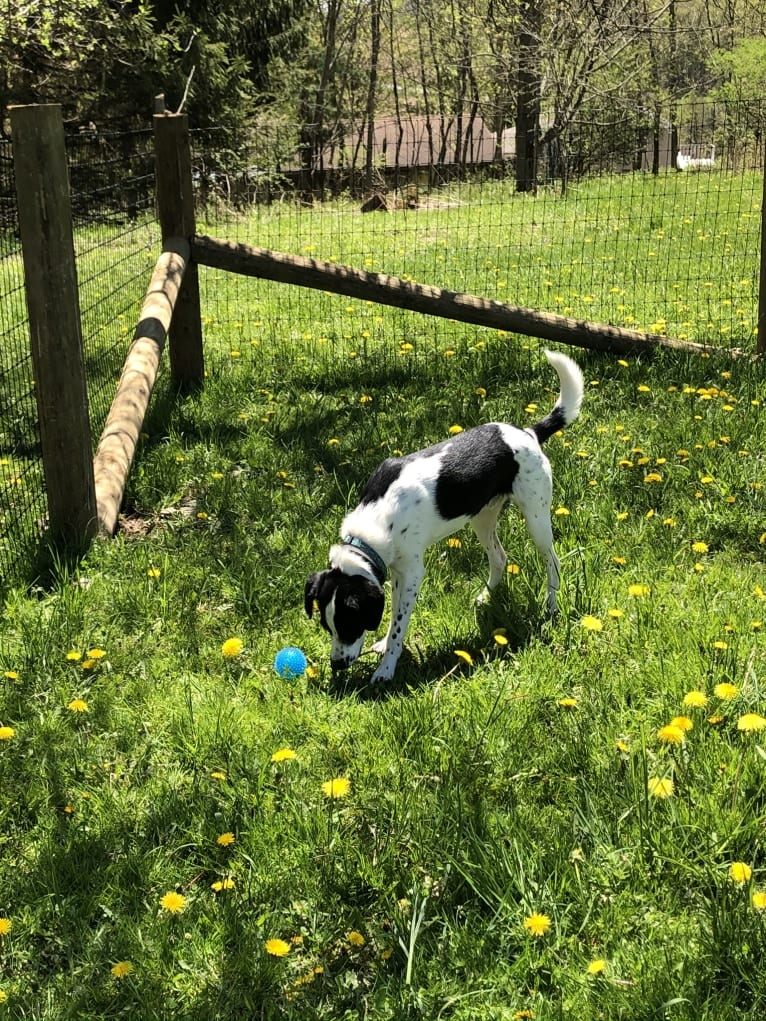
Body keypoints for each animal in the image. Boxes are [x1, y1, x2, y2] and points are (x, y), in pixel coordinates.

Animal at [302, 351, 584, 686]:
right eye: (326, 625)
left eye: (350, 623)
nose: (337, 665)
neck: (376, 520)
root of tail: (528, 433)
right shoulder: (395, 570)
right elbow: (393, 614)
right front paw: (383, 646)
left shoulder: (412, 573)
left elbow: (399, 625)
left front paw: (386, 668)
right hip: (482, 518)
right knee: (500, 557)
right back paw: (486, 596)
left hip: (536, 517)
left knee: (552, 562)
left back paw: (550, 607)